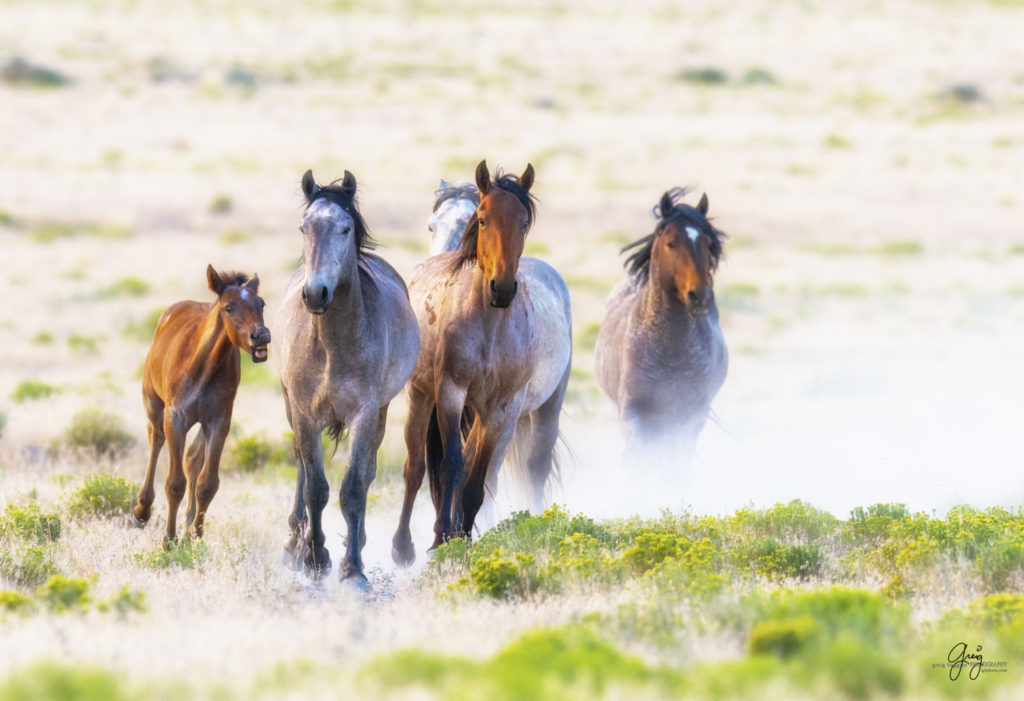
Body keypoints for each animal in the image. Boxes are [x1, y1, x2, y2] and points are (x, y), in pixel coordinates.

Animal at [133, 264, 272, 540]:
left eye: (261, 304)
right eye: (229, 307)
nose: (261, 336)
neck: (205, 366)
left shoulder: (218, 422)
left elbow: (207, 483)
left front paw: (194, 534)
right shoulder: (175, 419)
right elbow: (175, 482)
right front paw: (169, 539)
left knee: (192, 457)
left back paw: (187, 525)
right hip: (154, 404)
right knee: (155, 438)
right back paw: (142, 509)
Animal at [276, 170, 419, 585]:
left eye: (345, 228)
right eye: (304, 227)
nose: (315, 294)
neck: (331, 344)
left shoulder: (365, 414)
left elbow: (353, 487)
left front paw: (351, 567)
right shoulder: (304, 414)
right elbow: (315, 487)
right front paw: (314, 557)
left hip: (382, 414)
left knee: (367, 471)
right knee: (301, 468)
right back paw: (295, 542)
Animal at [391, 158, 573, 564]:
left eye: (524, 222)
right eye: (484, 219)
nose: (502, 288)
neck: (490, 325)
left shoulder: (500, 407)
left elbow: (476, 479)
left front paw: (462, 537)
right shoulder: (451, 393)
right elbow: (451, 466)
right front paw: (442, 538)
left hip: (544, 407)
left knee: (527, 467)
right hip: (421, 396)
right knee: (415, 468)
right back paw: (403, 547)